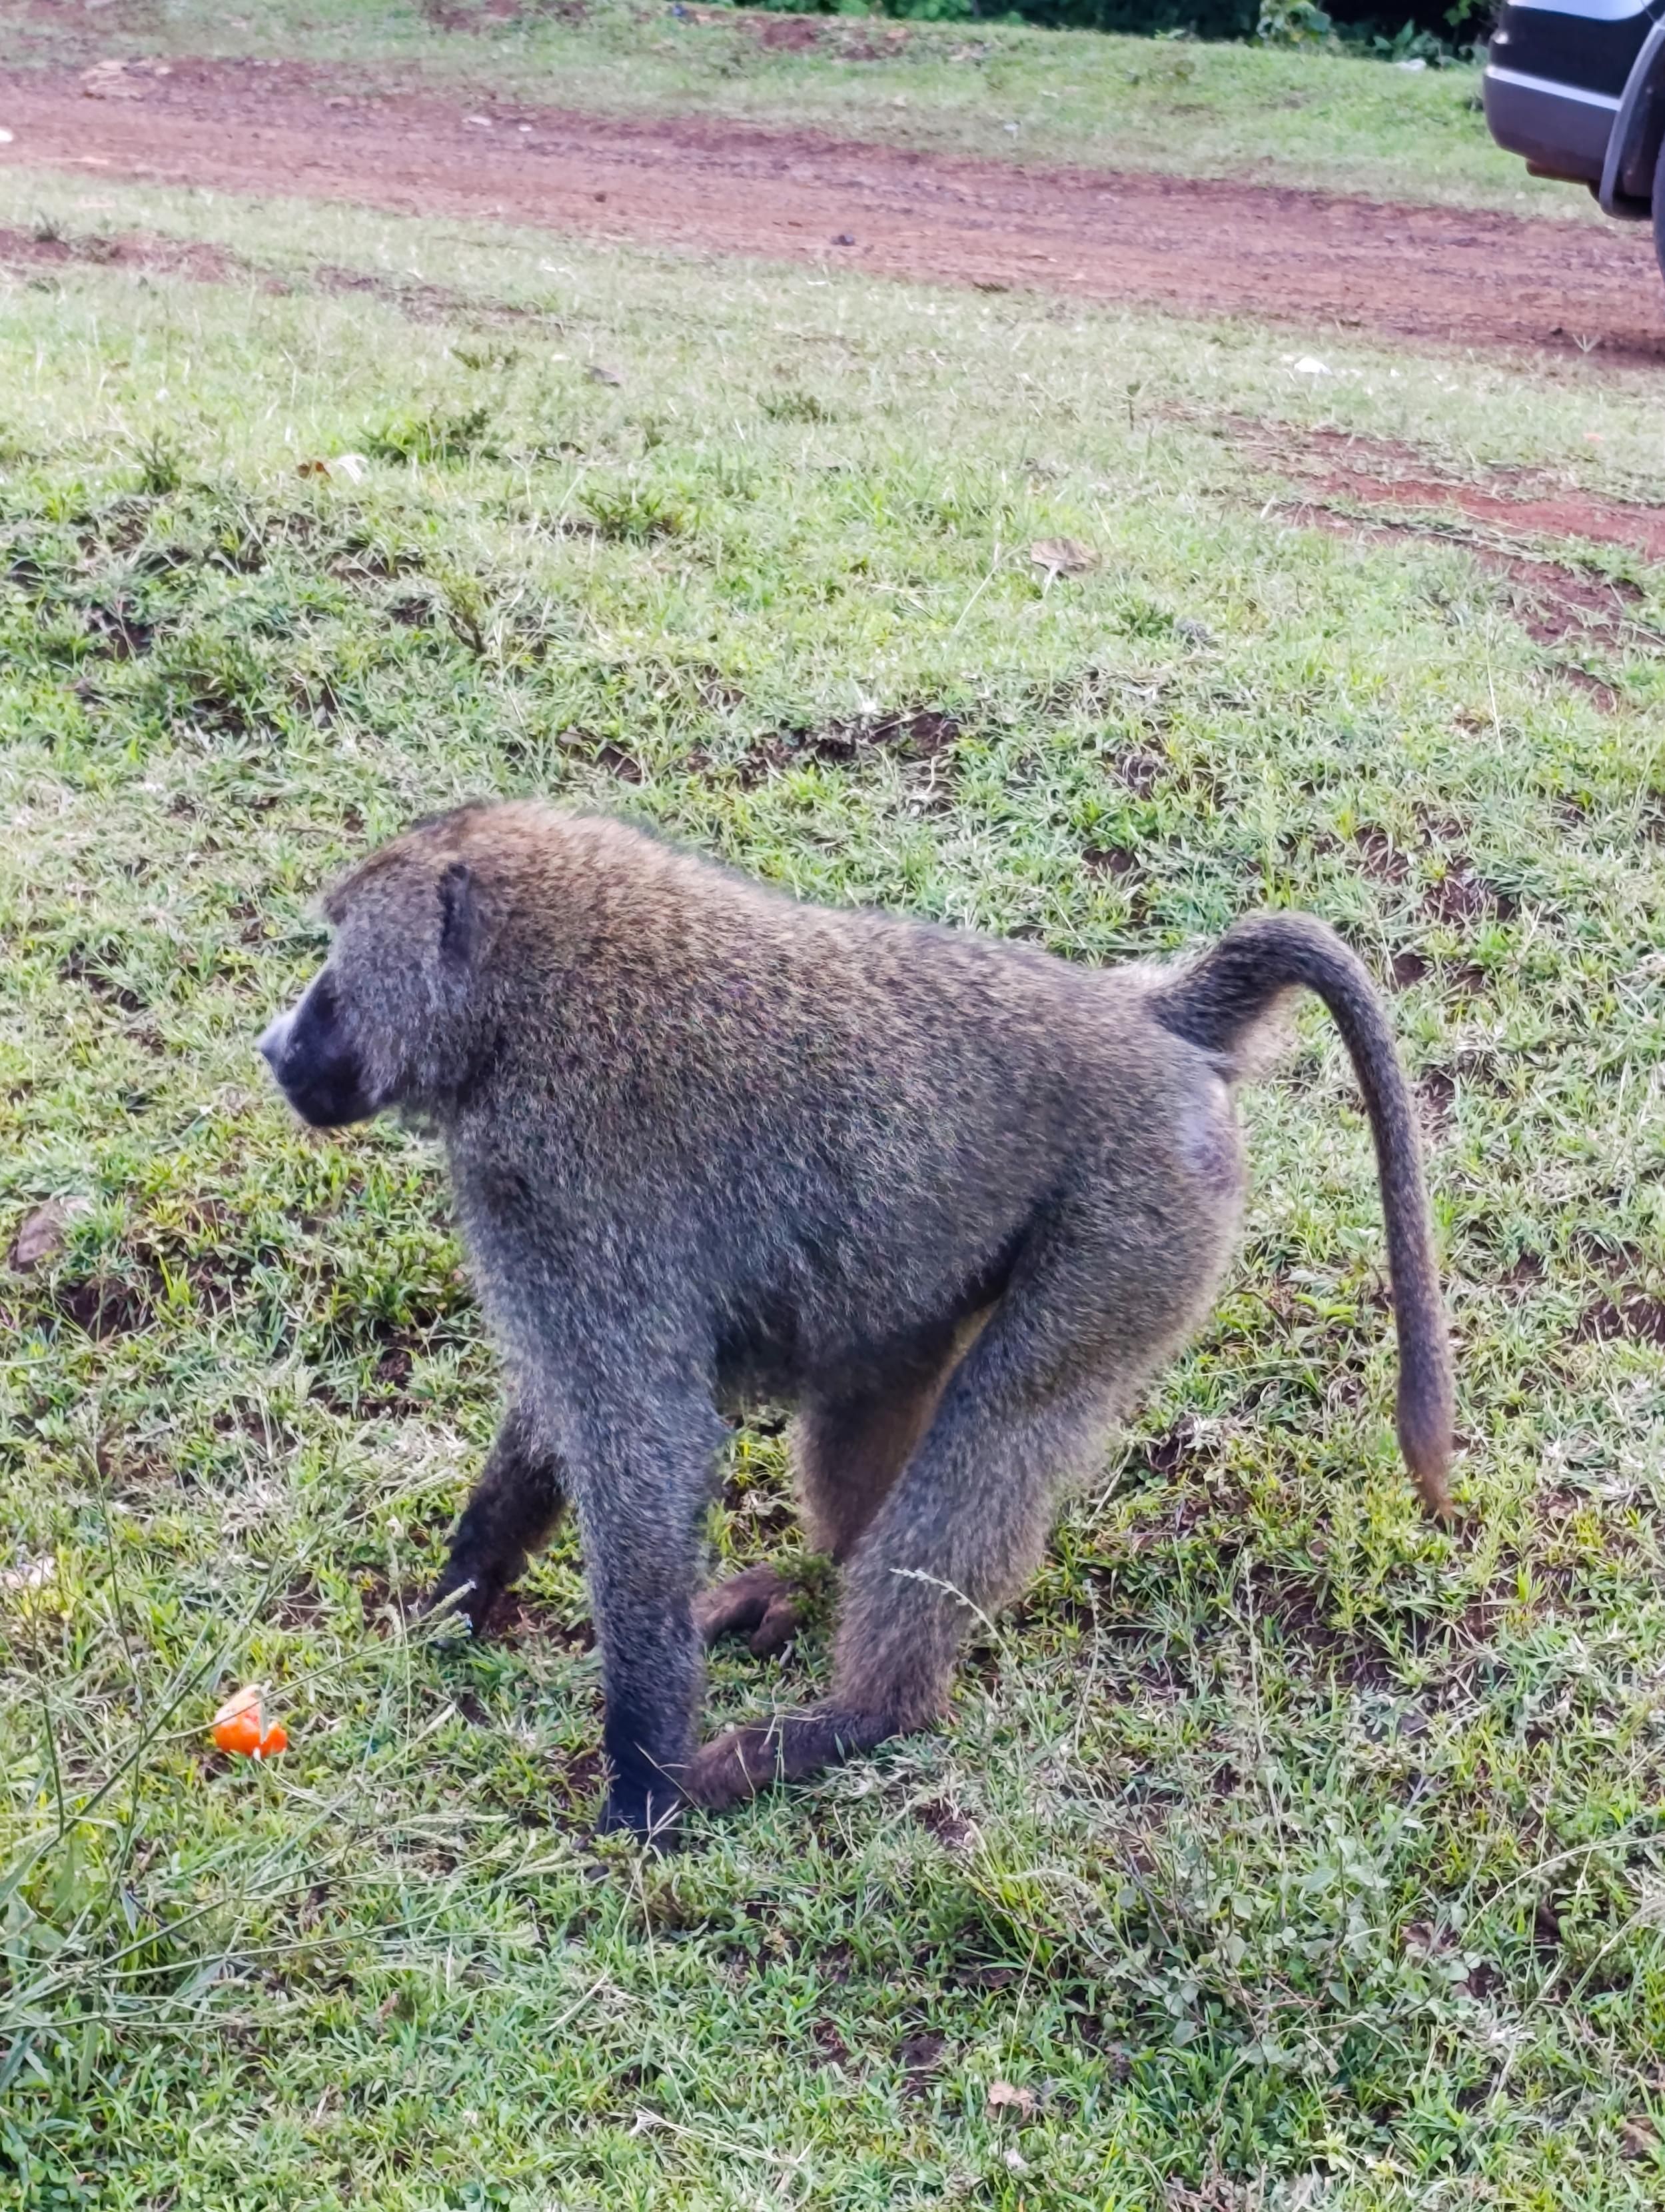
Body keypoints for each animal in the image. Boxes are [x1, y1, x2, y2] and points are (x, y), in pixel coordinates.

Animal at [257, 800, 1454, 1842]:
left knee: (1000, 1423)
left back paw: (854, 1716)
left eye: (337, 960)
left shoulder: (568, 1192)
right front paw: (457, 1596)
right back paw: (811, 1584)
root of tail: (1147, 1015)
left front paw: (639, 1786)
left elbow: (643, 1446)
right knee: (878, 1386)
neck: (522, 1005)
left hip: (1139, 1217)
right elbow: (560, 1417)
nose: (276, 1044)